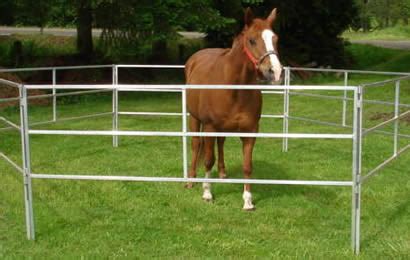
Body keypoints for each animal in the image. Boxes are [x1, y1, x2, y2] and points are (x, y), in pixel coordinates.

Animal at [185, 7, 282, 211]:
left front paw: (248, 201)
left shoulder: (250, 131)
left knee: (221, 143)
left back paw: (222, 173)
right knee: (196, 145)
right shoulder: (209, 127)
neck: (234, 88)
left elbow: (247, 166)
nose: (275, 71)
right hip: (194, 118)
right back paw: (191, 179)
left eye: (275, 39)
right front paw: (207, 193)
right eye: (252, 40)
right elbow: (208, 160)